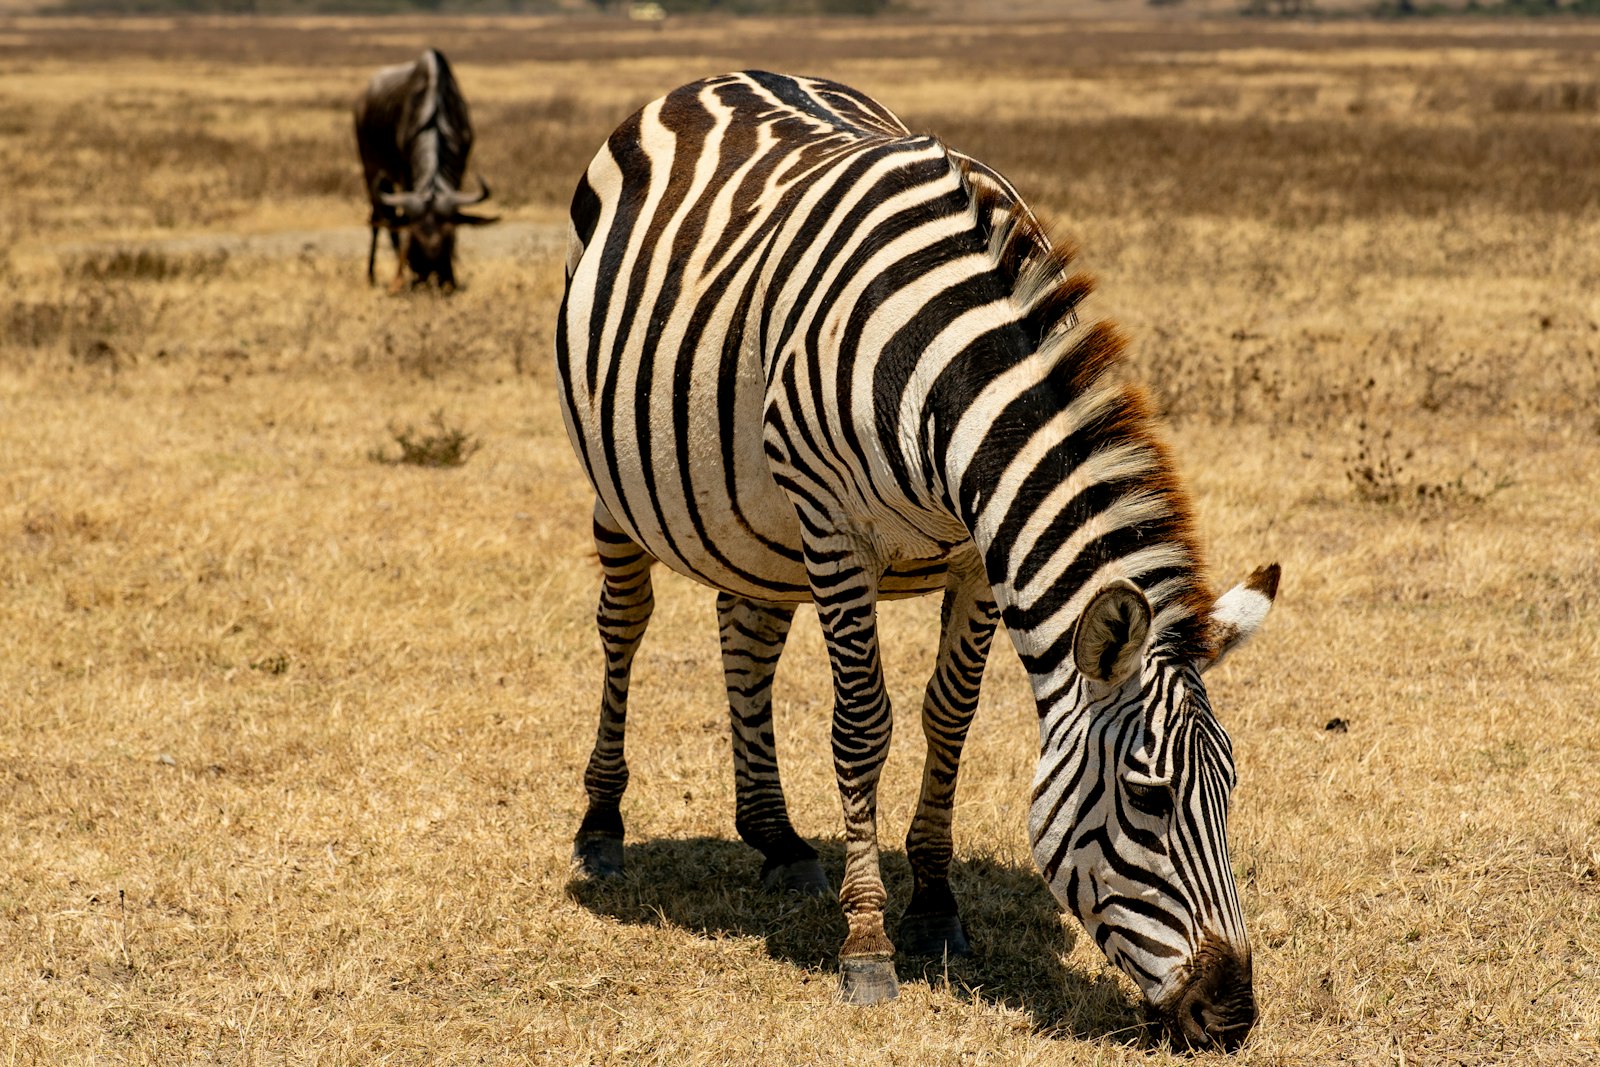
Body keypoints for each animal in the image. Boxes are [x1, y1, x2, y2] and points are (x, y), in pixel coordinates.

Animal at [554, 71, 1279, 1051]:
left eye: (1229, 793)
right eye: (1150, 797)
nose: (1232, 1013)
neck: (943, 363)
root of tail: (720, 77)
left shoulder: (975, 555)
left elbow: (950, 718)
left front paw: (934, 906)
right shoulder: (834, 527)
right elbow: (864, 727)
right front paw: (867, 945)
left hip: (754, 521)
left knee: (747, 634)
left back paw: (777, 838)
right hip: (624, 486)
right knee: (623, 628)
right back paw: (602, 826)